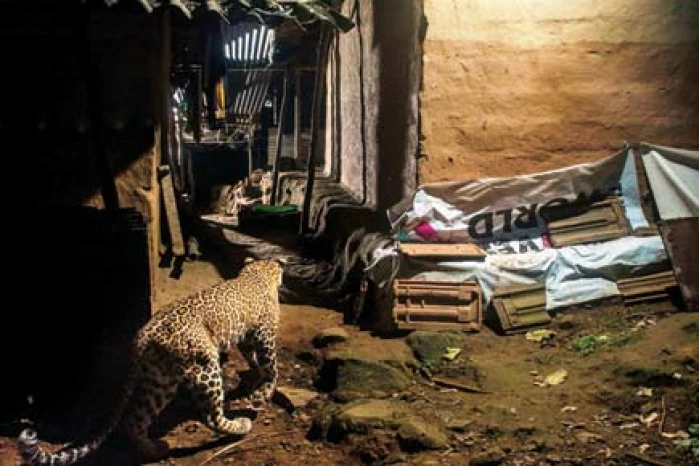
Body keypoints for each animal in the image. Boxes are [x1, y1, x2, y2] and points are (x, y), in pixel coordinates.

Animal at [18, 256, 285, 465]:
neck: (258, 273)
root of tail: (143, 336)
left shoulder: (248, 336)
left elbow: (253, 357)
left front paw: (254, 376)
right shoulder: (264, 334)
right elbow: (271, 367)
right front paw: (262, 394)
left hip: (160, 381)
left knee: (134, 421)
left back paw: (155, 450)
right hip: (204, 367)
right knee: (210, 417)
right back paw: (240, 426)